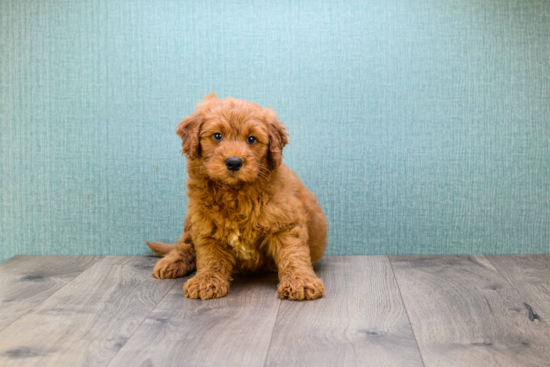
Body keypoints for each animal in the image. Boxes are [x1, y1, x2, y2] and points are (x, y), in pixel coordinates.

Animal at [147, 94, 328, 302]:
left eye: (251, 139)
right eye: (217, 136)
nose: (234, 162)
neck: (235, 192)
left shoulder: (285, 223)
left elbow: (293, 254)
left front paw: (301, 282)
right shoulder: (206, 224)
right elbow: (210, 257)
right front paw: (206, 280)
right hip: (190, 220)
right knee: (184, 245)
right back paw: (171, 262)